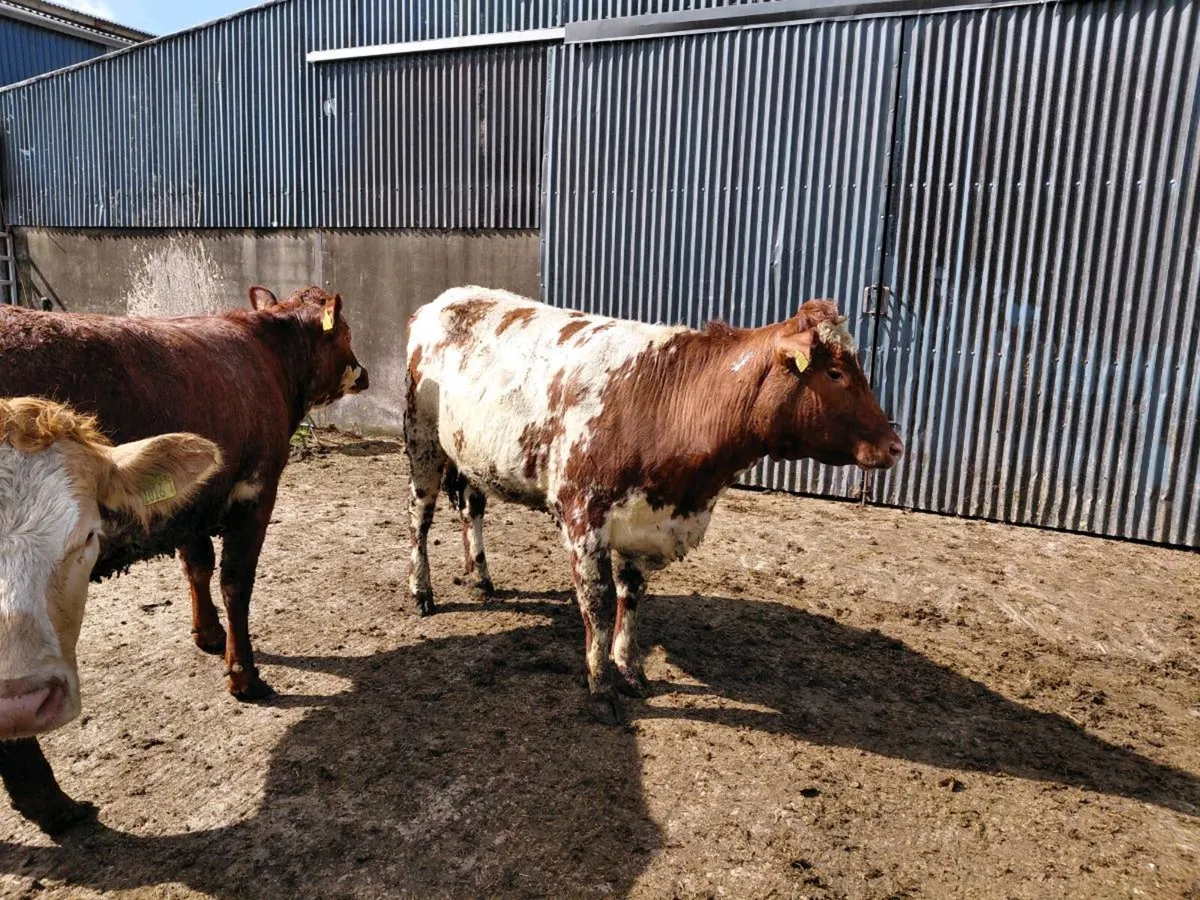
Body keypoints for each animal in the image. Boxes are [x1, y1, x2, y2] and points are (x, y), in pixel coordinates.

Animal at [0, 286, 369, 702]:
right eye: (347, 333)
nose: (364, 373)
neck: (268, 355)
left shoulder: (193, 501)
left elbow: (198, 565)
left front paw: (208, 634)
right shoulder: (255, 493)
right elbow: (235, 582)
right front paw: (244, 675)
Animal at [405, 287, 903, 724]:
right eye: (835, 373)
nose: (896, 447)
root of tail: (447, 298)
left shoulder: (644, 524)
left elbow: (632, 597)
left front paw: (630, 670)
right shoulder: (584, 519)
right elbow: (598, 603)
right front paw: (601, 689)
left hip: (472, 456)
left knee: (472, 508)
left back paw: (481, 576)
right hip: (422, 442)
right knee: (419, 519)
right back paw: (422, 591)